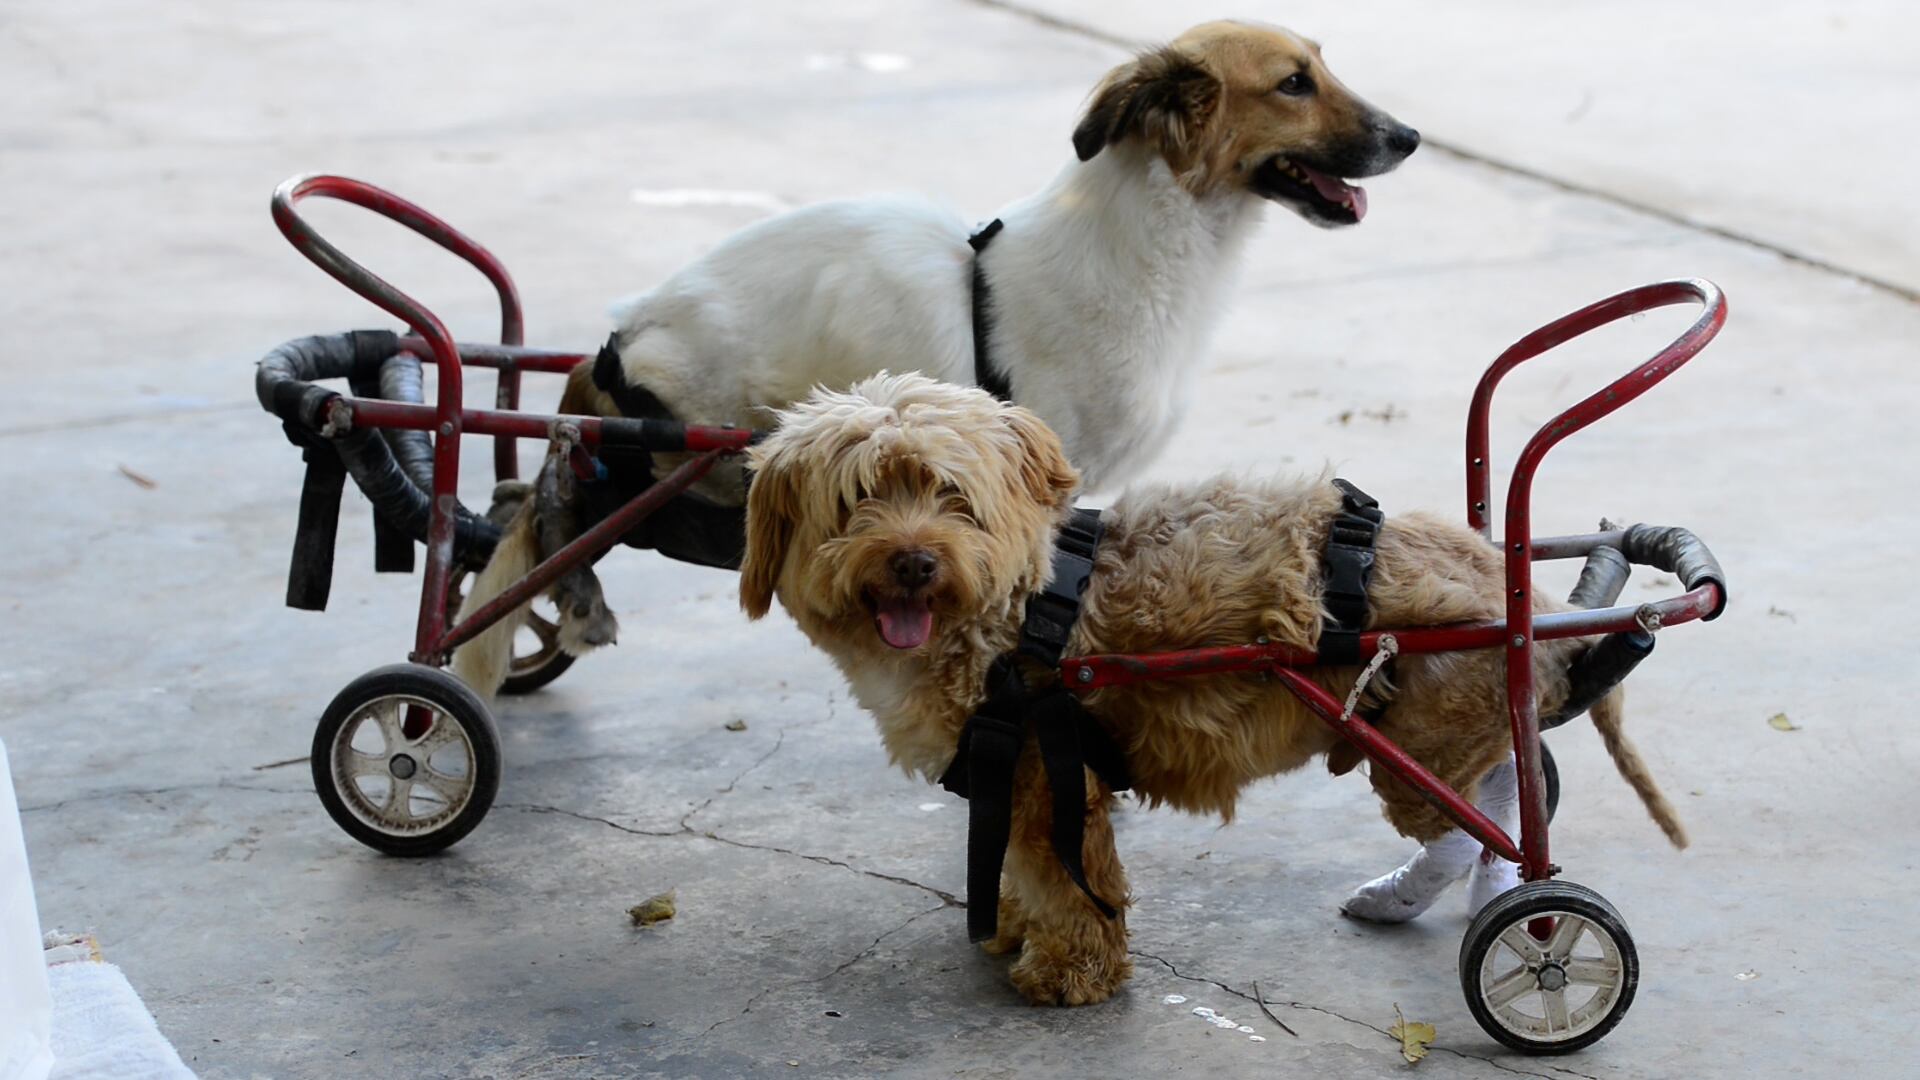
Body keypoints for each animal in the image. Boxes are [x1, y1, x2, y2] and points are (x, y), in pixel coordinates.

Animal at [733, 374, 1681, 1006]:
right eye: (857, 500)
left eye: (951, 495)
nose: (913, 560)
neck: (1018, 602)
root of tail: (1523, 597)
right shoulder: (1018, 778)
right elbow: (1021, 872)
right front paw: (1014, 926)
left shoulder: (1050, 775)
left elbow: (1068, 882)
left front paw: (1070, 970)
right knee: (1510, 796)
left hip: (1421, 744)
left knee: (1486, 836)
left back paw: (1524, 925)